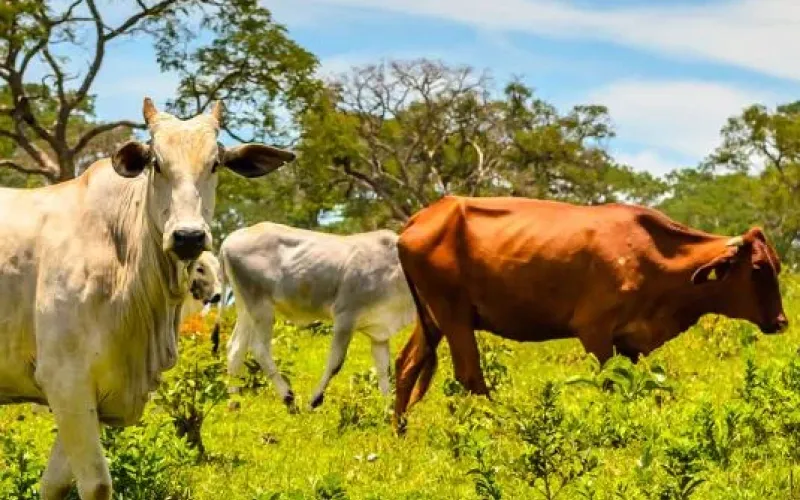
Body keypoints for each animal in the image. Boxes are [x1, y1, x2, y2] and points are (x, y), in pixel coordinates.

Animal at [0, 98, 294, 499]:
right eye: (156, 163)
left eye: (215, 164)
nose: (188, 236)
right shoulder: (65, 380)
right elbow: (96, 484)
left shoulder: (92, 395)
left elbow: (55, 484)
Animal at [213, 223, 416, 409]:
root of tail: (229, 240)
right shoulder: (345, 316)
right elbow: (335, 362)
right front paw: (314, 400)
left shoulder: (380, 332)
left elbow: (384, 371)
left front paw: (388, 410)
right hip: (261, 307)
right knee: (259, 348)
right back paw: (288, 397)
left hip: (245, 308)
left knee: (235, 348)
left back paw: (234, 402)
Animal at [393, 195, 788, 430]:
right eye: (757, 268)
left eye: (777, 264)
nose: (782, 322)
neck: (654, 255)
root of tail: (422, 217)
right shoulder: (595, 331)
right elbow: (609, 383)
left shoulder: (629, 342)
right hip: (454, 315)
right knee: (470, 376)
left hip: (432, 318)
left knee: (407, 364)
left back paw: (400, 430)